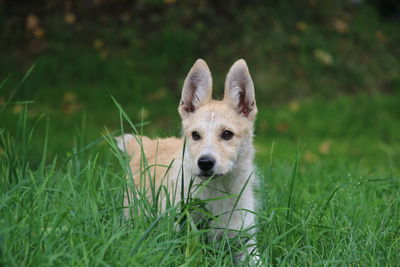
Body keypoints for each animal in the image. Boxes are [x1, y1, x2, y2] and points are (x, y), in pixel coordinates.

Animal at [115, 59, 260, 264]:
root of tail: (148, 143)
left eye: (227, 134)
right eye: (195, 135)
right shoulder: (178, 237)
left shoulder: (246, 242)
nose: (205, 163)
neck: (216, 189)